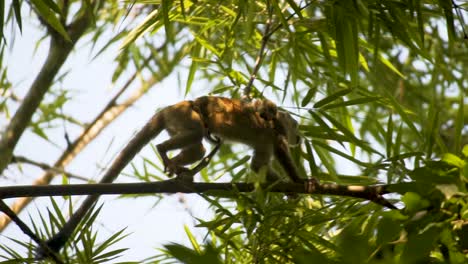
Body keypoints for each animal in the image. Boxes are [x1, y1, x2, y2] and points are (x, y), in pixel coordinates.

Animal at [41, 96, 308, 255]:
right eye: (296, 126)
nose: (300, 136)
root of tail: (167, 109)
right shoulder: (273, 135)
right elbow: (273, 158)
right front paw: (298, 185)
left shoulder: (269, 141)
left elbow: (263, 162)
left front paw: (292, 188)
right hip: (183, 115)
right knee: (197, 134)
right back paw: (163, 150)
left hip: (176, 121)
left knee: (198, 147)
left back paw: (180, 171)